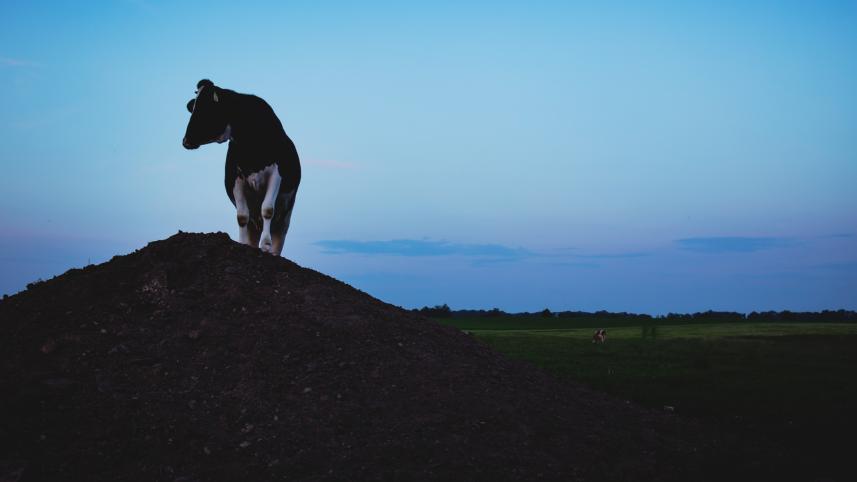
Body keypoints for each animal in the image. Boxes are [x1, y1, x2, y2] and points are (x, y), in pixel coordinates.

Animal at [182, 79, 301, 256]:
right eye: (194, 107)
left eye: (206, 108)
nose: (186, 140)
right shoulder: (235, 178)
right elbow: (242, 217)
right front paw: (242, 244)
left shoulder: (276, 173)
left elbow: (267, 209)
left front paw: (265, 245)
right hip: (255, 222)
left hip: (286, 212)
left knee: (280, 231)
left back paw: (273, 251)